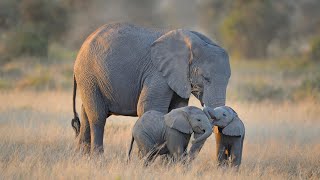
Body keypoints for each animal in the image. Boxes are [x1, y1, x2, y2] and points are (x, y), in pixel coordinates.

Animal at [70, 22, 230, 155]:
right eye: (205, 78)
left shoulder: (178, 78)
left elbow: (177, 109)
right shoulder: (158, 73)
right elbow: (149, 107)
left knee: (86, 113)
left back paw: (81, 157)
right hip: (89, 75)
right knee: (98, 116)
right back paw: (98, 158)